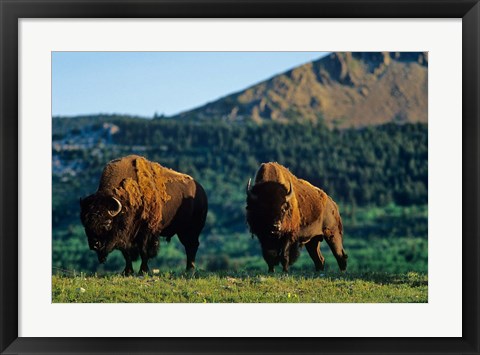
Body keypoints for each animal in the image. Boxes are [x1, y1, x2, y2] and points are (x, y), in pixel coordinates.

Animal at [80, 156, 208, 276]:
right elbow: (126, 253)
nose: (95, 245)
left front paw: (143, 271)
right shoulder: (126, 237)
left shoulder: (146, 232)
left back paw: (190, 270)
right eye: (86, 224)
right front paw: (127, 272)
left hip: (191, 230)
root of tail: (201, 192)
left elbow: (144, 251)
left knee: (191, 246)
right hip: (183, 231)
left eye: (107, 223)